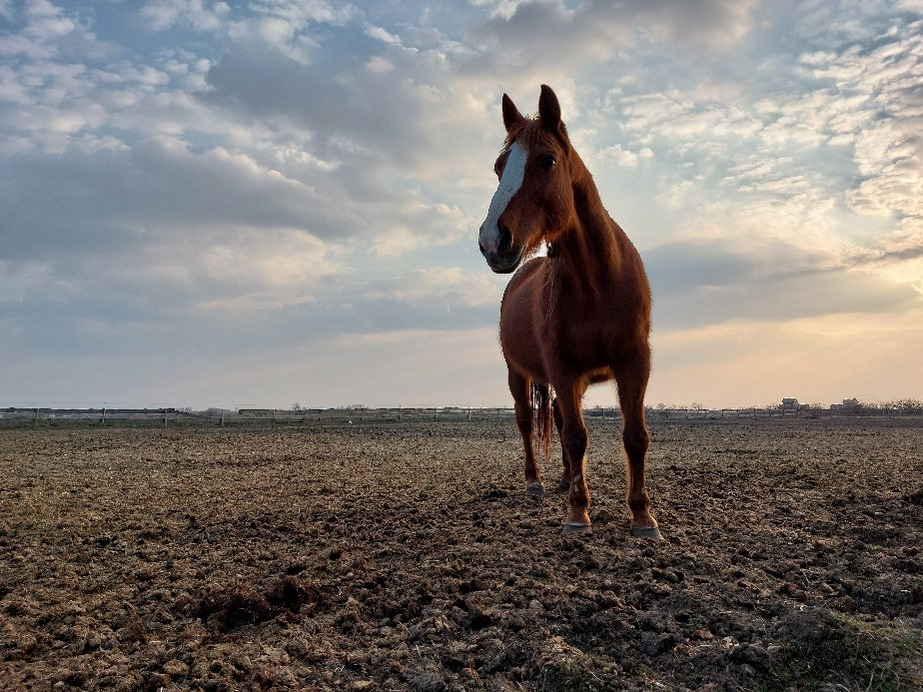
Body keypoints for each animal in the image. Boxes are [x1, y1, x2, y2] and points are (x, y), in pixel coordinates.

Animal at [480, 85, 660, 540]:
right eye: (499, 167)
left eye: (547, 160)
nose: (492, 241)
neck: (597, 281)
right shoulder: (560, 366)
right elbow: (577, 436)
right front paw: (578, 513)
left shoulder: (634, 361)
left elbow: (635, 436)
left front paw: (642, 516)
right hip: (519, 374)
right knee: (527, 423)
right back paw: (536, 482)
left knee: (559, 423)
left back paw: (563, 479)